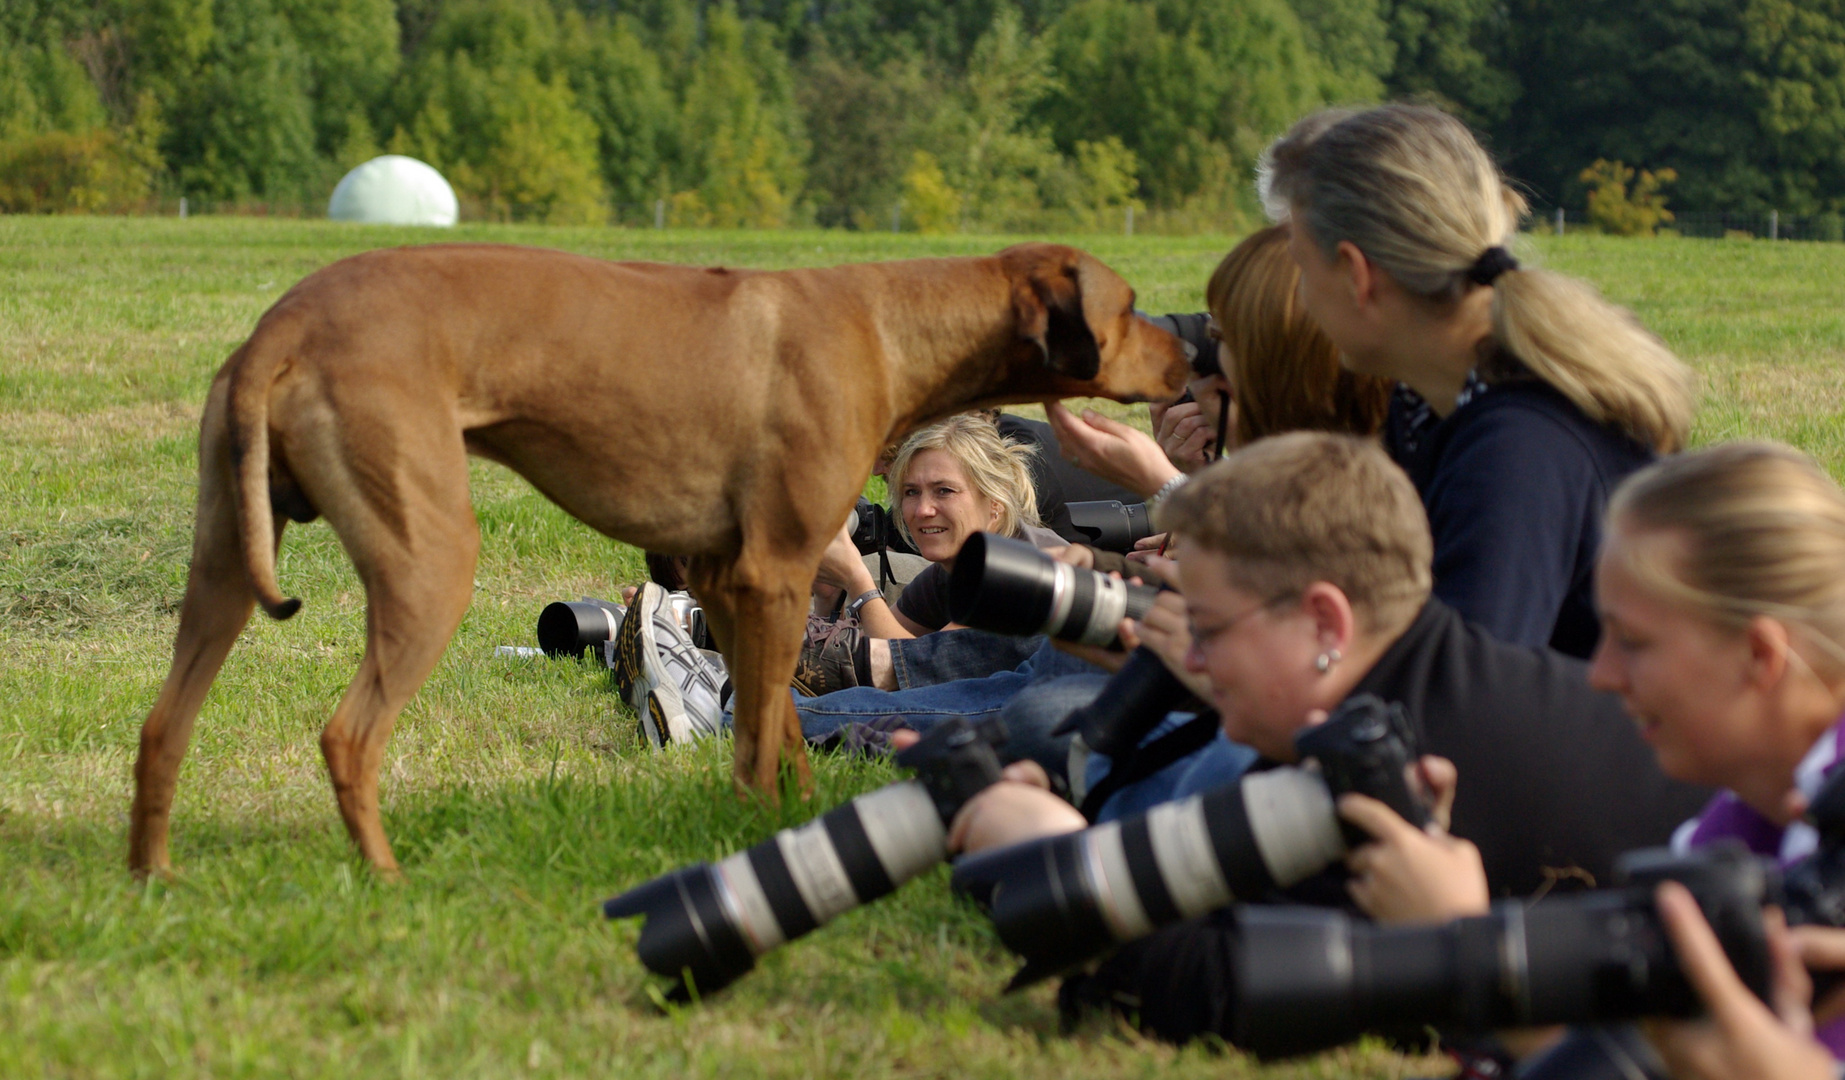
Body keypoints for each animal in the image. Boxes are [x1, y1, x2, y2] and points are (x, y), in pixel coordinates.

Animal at [133, 240, 1195, 871]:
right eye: (1134, 303)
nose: (1193, 356)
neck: (891, 324)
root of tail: (281, 324)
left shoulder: (723, 580)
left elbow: (777, 727)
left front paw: (791, 820)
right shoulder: (774, 574)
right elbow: (760, 738)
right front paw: (758, 836)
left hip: (220, 568)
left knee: (162, 727)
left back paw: (152, 881)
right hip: (429, 562)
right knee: (348, 738)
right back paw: (387, 881)